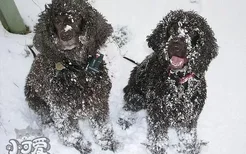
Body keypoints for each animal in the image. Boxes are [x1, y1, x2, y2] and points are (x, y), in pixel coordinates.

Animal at [24, 0, 117, 153]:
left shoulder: (99, 102)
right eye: (56, 20)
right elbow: (71, 134)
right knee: (45, 116)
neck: (77, 71)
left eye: (78, 17)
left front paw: (110, 144)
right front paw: (83, 147)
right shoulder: (61, 111)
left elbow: (102, 128)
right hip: (34, 100)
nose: (66, 35)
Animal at [121, 10, 217, 153]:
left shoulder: (189, 118)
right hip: (136, 96)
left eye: (192, 31)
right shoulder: (158, 116)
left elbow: (188, 140)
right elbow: (159, 140)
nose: (176, 44)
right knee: (128, 107)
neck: (179, 82)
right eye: (171, 28)